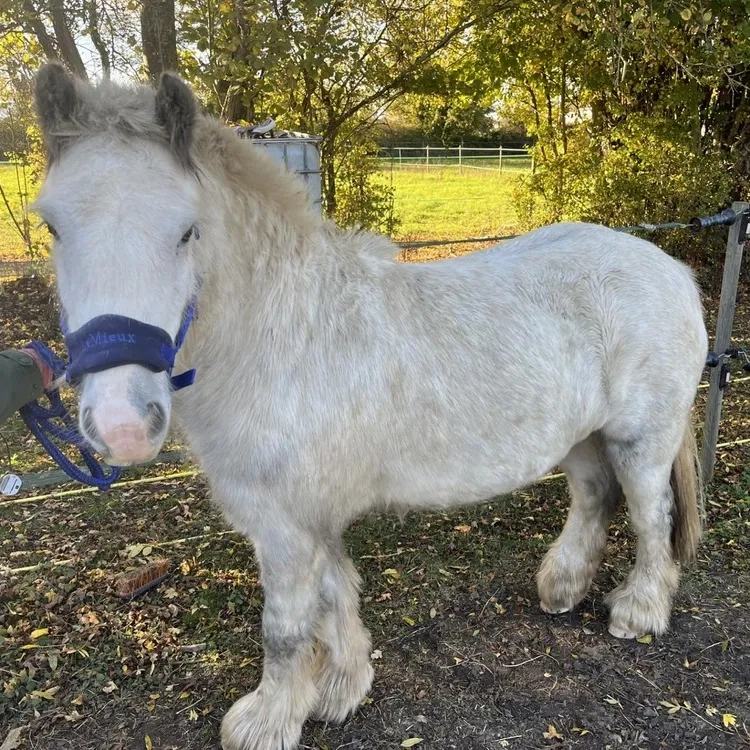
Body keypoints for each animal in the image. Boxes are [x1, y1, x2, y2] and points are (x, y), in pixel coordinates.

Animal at [32, 62, 707, 750]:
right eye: (53, 226)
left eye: (186, 230)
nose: (122, 425)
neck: (285, 338)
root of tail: (670, 268)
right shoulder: (310, 517)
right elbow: (336, 599)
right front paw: (341, 689)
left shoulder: (285, 527)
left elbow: (286, 628)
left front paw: (269, 720)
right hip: (580, 438)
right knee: (595, 497)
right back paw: (563, 587)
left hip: (640, 441)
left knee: (651, 517)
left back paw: (639, 612)